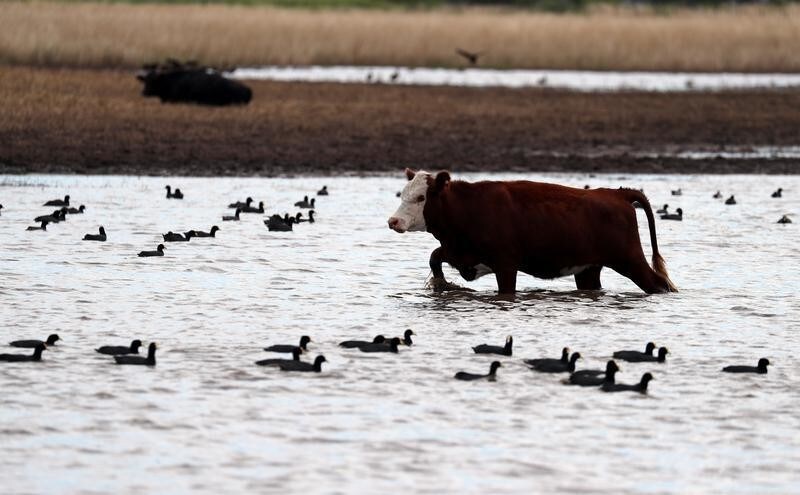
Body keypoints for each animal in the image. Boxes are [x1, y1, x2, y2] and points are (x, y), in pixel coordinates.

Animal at [387, 169, 677, 295]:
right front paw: (441, 284)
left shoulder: (506, 265)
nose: (393, 221)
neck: (467, 208)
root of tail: (616, 194)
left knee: (659, 284)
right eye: (404, 193)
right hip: (588, 269)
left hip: (629, 260)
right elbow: (435, 258)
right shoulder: (460, 252)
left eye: (421, 197)